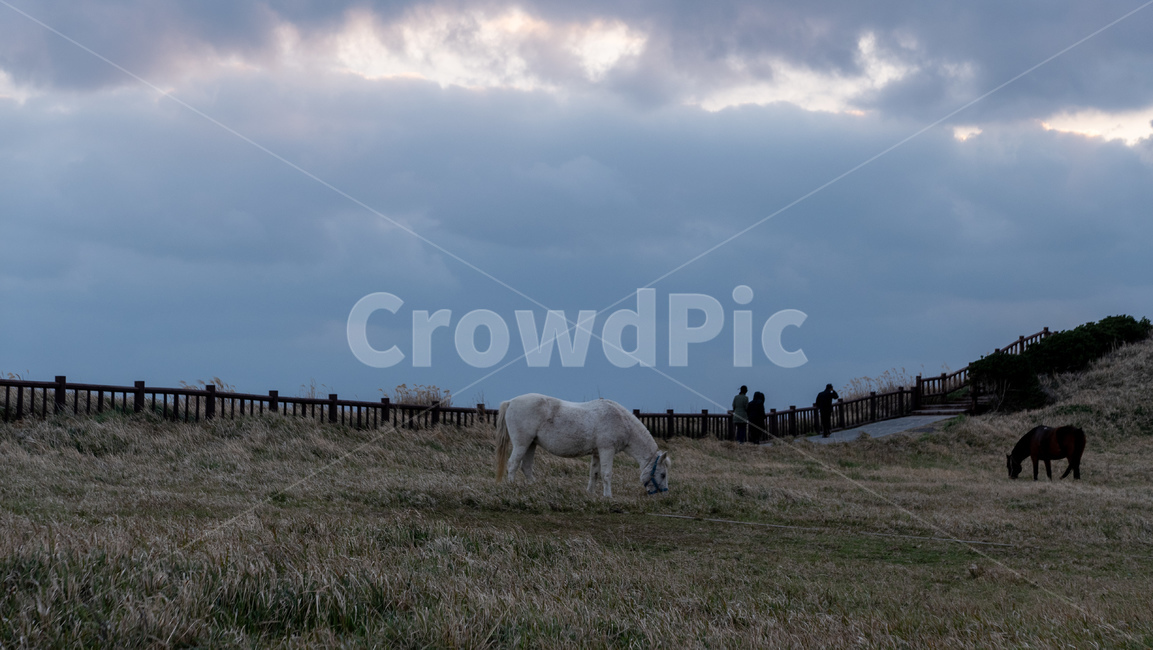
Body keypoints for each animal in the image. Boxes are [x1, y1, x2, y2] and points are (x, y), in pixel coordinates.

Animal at [494, 393, 671, 498]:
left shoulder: (597, 453)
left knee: (526, 467)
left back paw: (535, 488)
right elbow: (607, 474)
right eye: (662, 474)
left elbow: (595, 473)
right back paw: (512, 487)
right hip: (522, 444)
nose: (663, 494)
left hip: (531, 444)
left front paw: (590, 494)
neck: (621, 420)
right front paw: (608, 496)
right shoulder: (607, 450)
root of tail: (511, 402)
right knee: (513, 464)